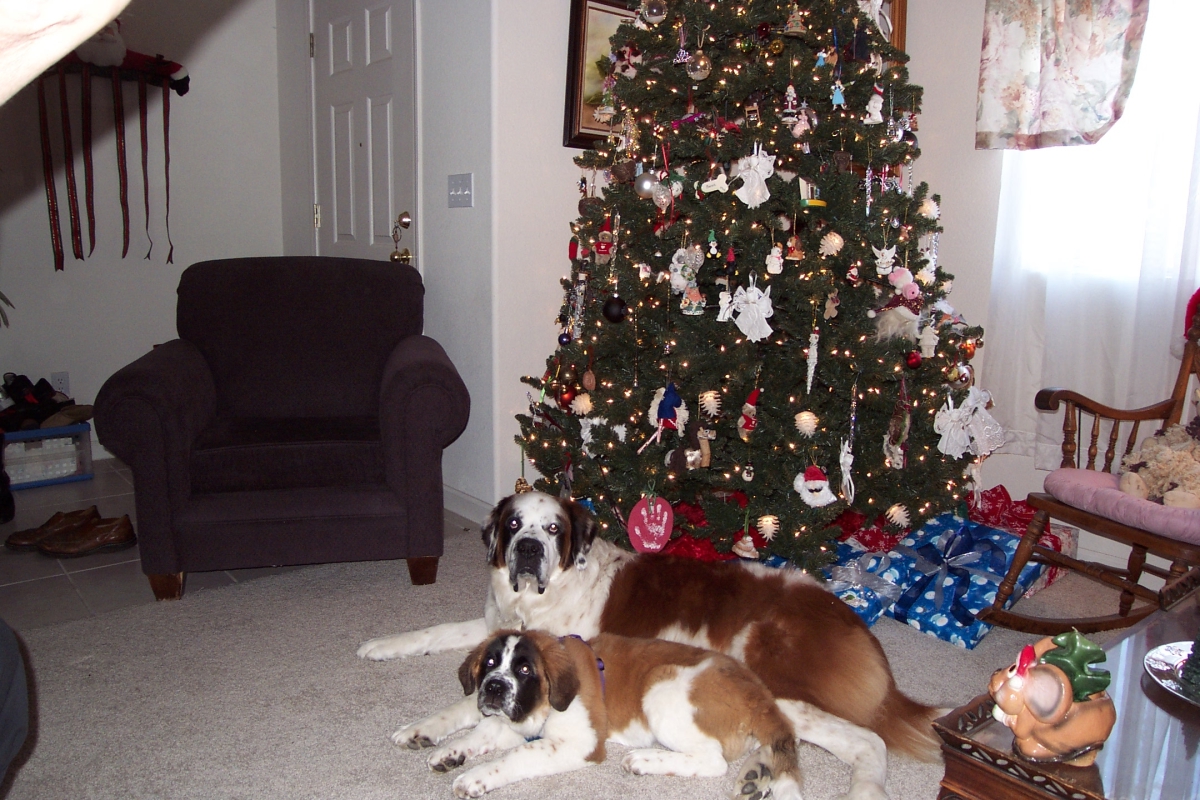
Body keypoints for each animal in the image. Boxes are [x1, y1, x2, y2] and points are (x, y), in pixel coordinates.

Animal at [395, 629, 802, 799]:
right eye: (491, 663)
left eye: (524, 670)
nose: (493, 688)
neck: (543, 703)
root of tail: (758, 692)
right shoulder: (514, 719)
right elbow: (484, 731)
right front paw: (450, 753)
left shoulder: (579, 743)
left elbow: (518, 755)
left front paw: (475, 778)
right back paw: (756, 776)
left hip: (661, 688)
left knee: (713, 761)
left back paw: (644, 760)